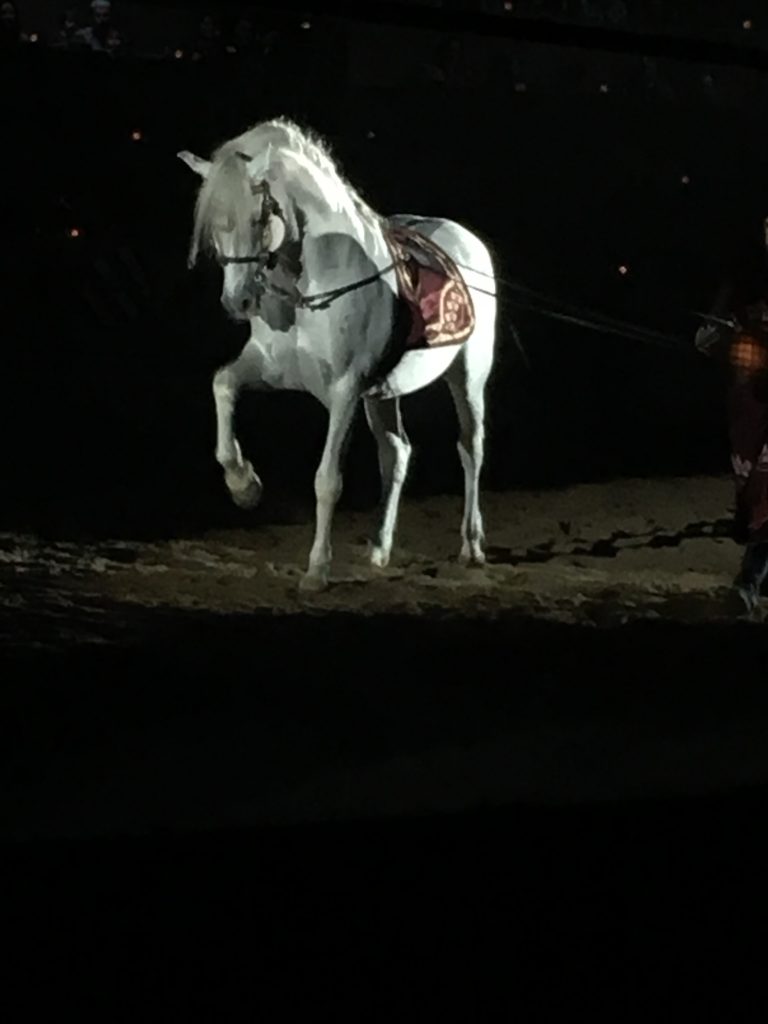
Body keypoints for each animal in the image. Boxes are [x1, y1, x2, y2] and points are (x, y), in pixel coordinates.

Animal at [178, 115, 499, 589]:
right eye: (216, 224)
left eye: (258, 217)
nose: (238, 302)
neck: (313, 282)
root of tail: (465, 239)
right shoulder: (269, 368)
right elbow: (223, 384)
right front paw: (243, 484)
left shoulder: (345, 389)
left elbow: (327, 479)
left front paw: (316, 569)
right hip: (383, 393)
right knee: (396, 454)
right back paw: (379, 548)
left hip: (468, 374)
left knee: (470, 446)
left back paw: (471, 546)